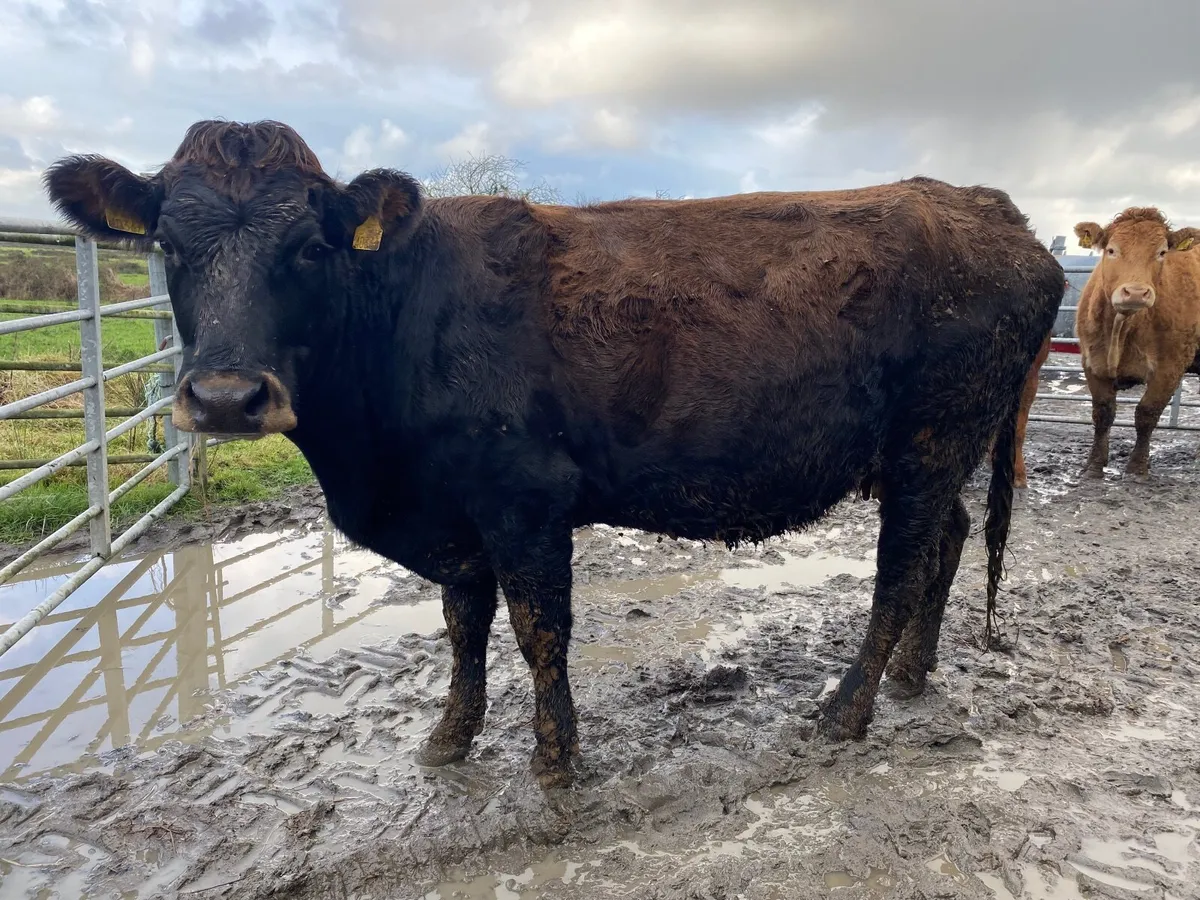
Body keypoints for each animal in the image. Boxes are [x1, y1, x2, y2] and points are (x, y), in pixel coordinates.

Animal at [43, 120, 1064, 783]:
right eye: (168, 244)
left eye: (309, 246)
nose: (225, 397)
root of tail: (996, 213)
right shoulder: (454, 511)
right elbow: (462, 628)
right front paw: (449, 740)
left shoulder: (523, 499)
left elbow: (539, 631)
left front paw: (555, 758)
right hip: (934, 449)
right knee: (948, 541)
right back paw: (912, 675)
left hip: (931, 438)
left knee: (902, 568)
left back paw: (847, 708)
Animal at [1073, 208, 1200, 478]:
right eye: (1112, 250)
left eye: (1162, 253)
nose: (1136, 293)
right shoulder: (1092, 362)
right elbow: (1103, 413)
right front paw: (1094, 465)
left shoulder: (1170, 368)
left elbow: (1146, 413)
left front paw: (1137, 467)